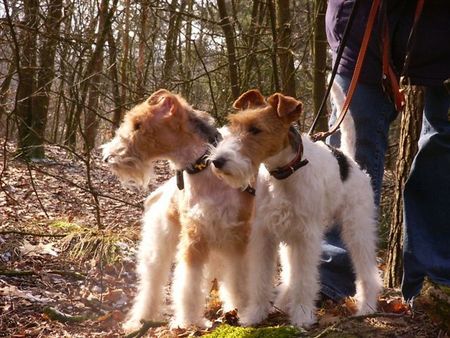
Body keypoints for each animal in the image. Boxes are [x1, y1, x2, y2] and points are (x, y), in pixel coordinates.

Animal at [102, 90, 255, 330]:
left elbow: (238, 279)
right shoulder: (194, 235)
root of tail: (161, 192)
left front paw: (241, 309)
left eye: (138, 125)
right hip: (159, 245)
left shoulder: (237, 235)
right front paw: (189, 321)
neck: (205, 167)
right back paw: (139, 320)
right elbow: (188, 284)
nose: (107, 157)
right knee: (151, 285)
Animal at [209, 89, 382, 328]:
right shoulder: (264, 235)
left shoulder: (307, 237)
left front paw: (301, 316)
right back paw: (283, 303)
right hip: (290, 236)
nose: (217, 161)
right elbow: (260, 279)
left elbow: (305, 280)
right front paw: (254, 315)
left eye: (256, 129)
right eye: (234, 125)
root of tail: (347, 159)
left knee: (367, 270)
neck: (283, 174)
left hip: (357, 228)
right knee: (290, 274)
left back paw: (367, 307)